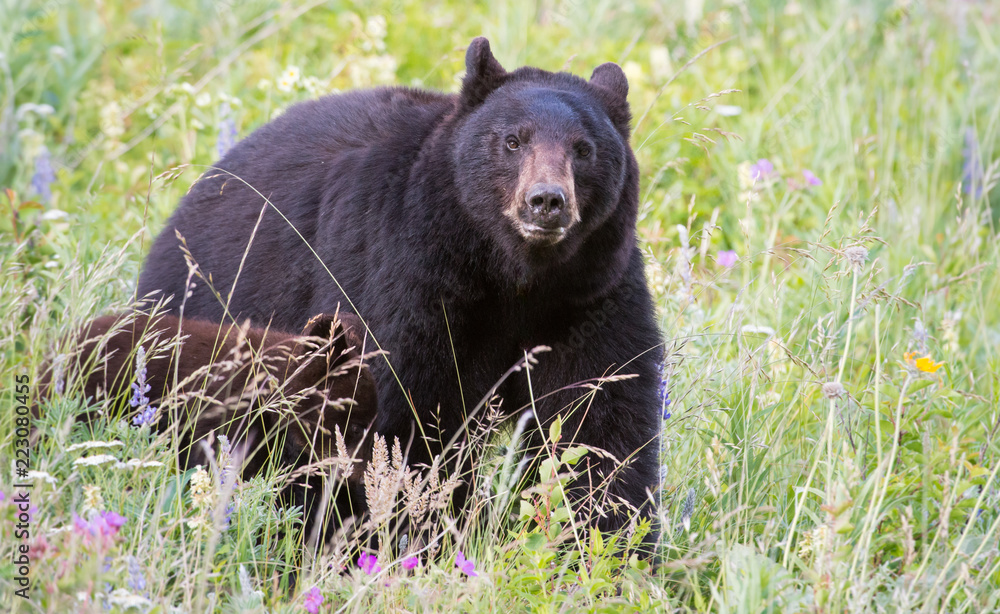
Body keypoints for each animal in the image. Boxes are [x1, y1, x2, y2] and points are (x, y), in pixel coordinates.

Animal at [137, 37, 664, 544]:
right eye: (513, 141)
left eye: (584, 149)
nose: (547, 201)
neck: (514, 277)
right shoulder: (403, 272)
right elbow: (399, 417)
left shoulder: (590, 293)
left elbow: (598, 418)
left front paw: (605, 543)